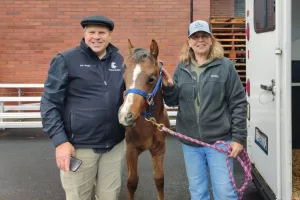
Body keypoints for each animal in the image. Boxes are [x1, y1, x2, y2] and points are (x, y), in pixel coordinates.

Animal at [118, 39, 170, 200]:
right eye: (124, 77)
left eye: (151, 78)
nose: (125, 115)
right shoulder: (131, 150)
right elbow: (132, 182)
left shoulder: (159, 149)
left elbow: (159, 180)